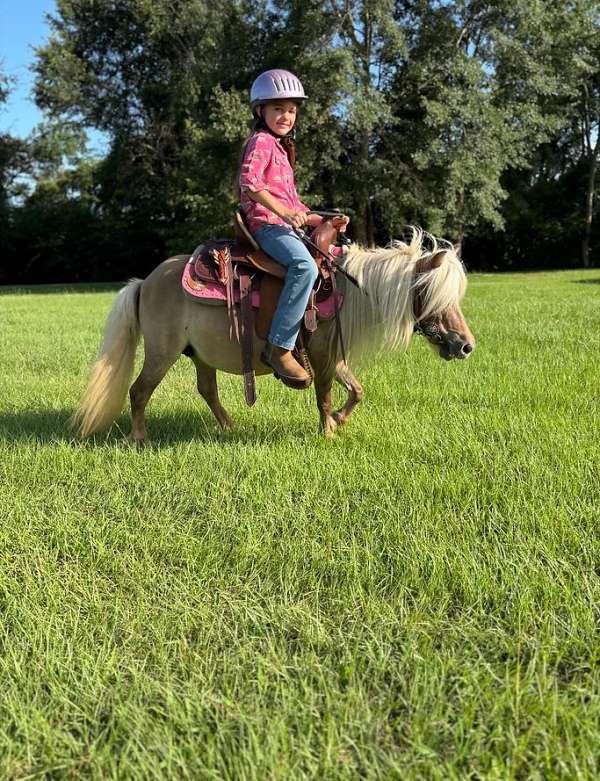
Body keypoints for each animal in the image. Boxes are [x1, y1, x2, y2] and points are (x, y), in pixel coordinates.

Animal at [71, 227, 475, 443]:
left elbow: (357, 390)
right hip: (161, 352)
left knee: (207, 390)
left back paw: (229, 426)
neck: (348, 291)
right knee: (139, 391)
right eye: (433, 293)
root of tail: (145, 281)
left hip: (199, 354)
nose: (466, 346)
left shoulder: (332, 356)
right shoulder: (322, 356)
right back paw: (140, 437)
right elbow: (324, 396)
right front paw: (328, 431)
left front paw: (338, 421)